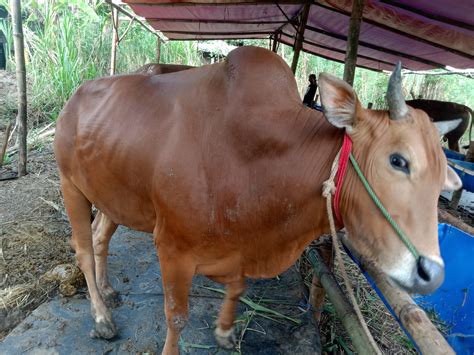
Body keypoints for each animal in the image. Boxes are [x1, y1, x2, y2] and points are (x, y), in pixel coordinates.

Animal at [53, 46, 462, 354]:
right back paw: (102, 318)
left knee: (101, 236)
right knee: (83, 249)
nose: (431, 272)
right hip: (71, 186)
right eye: (398, 160)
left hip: (113, 195)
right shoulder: (172, 246)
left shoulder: (236, 248)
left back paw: (108, 291)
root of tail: (75, 97)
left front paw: (224, 331)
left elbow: (238, 287)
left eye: (441, 179)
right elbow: (177, 314)